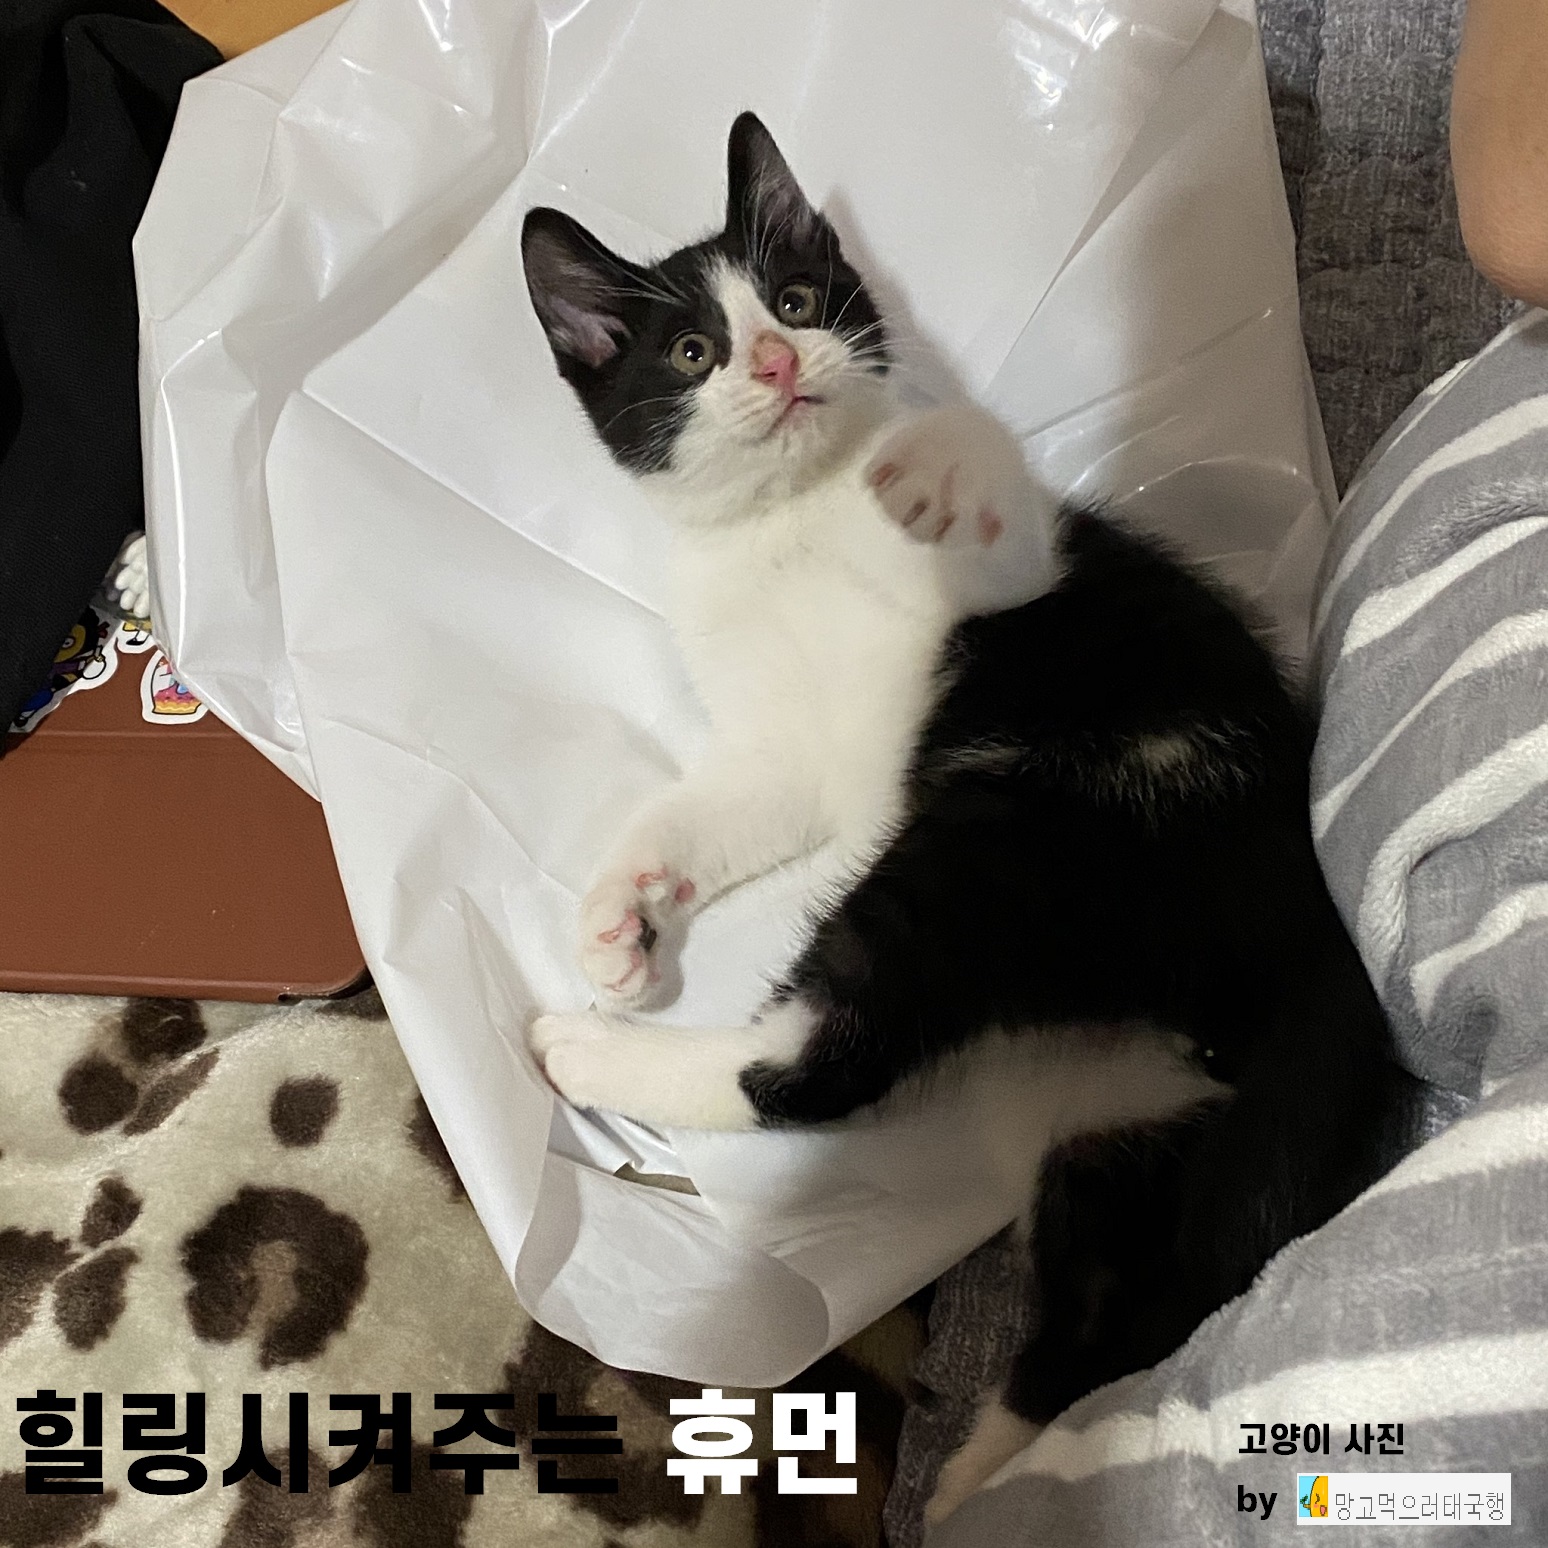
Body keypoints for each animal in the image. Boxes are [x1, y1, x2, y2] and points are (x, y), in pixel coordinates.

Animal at [521, 113, 1418, 1523]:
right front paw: (625, 910)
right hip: (1121, 1107)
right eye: (692, 352)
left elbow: (997, 516)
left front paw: (941, 463)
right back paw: (991, 1478)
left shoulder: (1011, 576)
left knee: (824, 1060)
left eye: (794, 301)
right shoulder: (789, 751)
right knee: (1111, 1308)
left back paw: (582, 1053)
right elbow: (722, 802)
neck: (788, 524)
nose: (777, 361)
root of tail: (1318, 960)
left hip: (1014, 844)